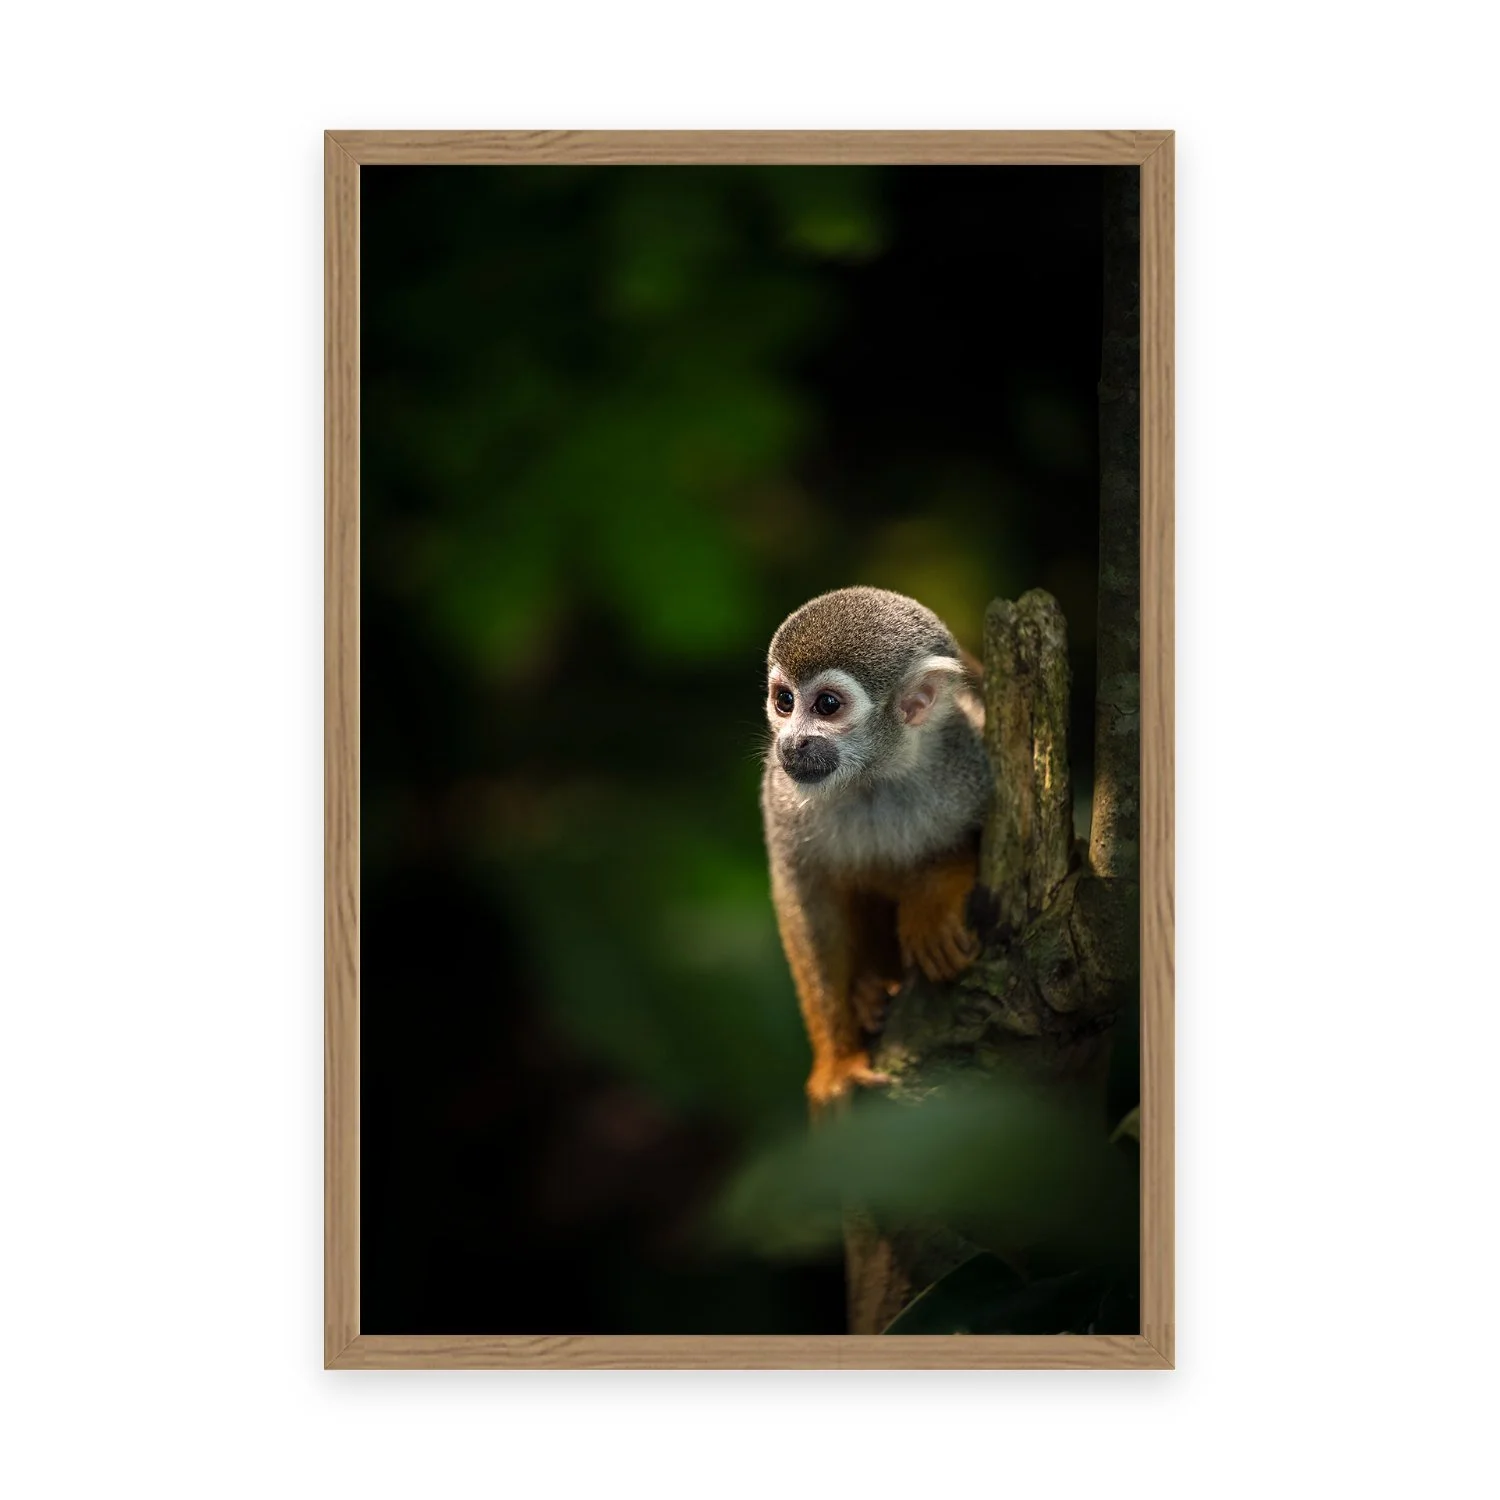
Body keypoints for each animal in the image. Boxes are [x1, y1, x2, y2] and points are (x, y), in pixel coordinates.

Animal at [759, 586, 992, 1109]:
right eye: (784, 701)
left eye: (827, 705)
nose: (790, 744)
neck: (873, 778)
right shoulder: (782, 795)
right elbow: (808, 902)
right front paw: (836, 1062)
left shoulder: (972, 754)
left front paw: (932, 903)